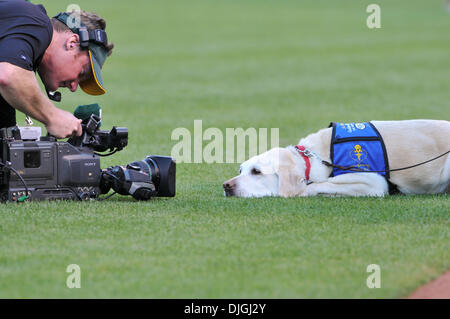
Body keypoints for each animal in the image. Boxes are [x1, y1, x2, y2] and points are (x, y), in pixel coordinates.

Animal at [222, 121, 450, 199]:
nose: (226, 185)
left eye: (257, 172)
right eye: (241, 170)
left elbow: (320, 184)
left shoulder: (373, 182)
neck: (314, 157)